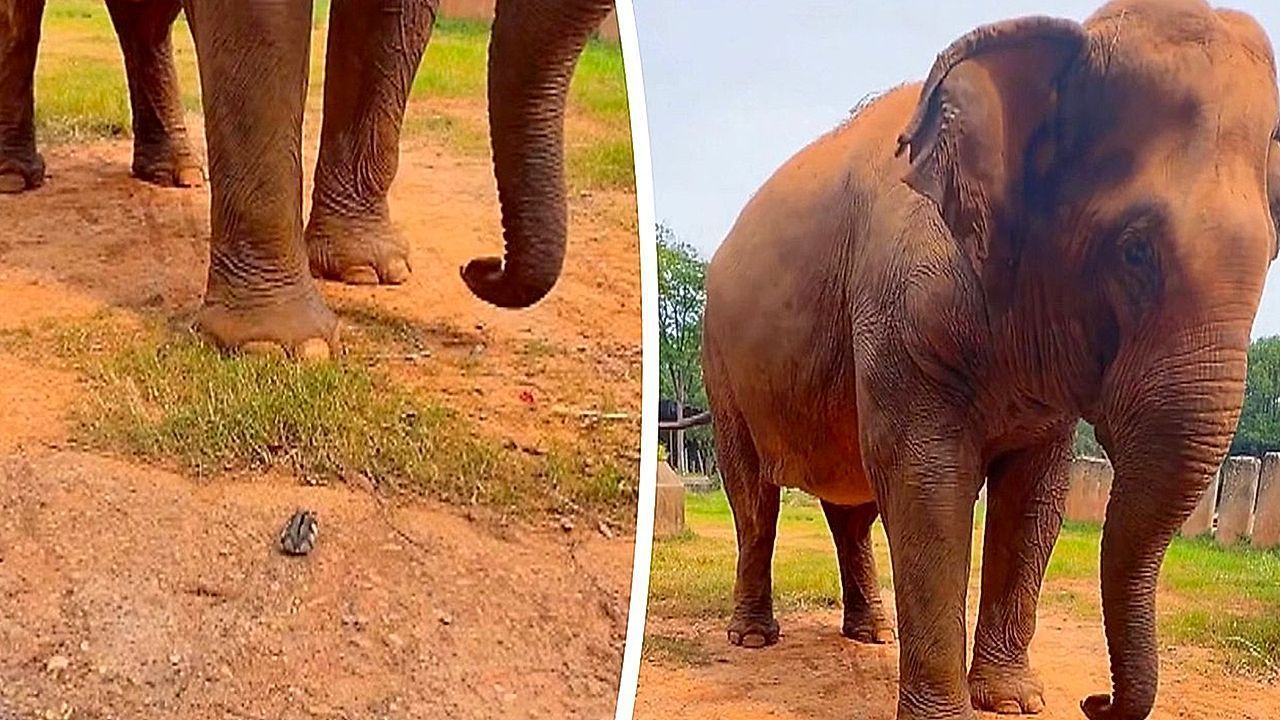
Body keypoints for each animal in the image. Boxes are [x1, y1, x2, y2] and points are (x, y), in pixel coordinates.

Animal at [699, 1, 1280, 719]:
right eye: (1135, 252)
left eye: (1272, 254)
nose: (1093, 700)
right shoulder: (903, 305)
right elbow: (924, 479)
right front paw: (953, 713)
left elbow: (1036, 493)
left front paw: (1011, 702)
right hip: (720, 361)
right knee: (753, 495)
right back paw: (753, 636)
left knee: (851, 503)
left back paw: (871, 633)